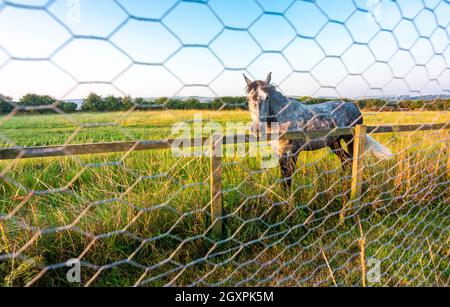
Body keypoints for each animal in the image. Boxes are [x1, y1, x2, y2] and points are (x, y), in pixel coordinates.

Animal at [243, 73, 394, 189]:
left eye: (267, 97)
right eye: (248, 98)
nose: (257, 129)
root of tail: (354, 106)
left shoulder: (292, 152)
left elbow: (288, 178)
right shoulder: (279, 152)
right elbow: (284, 177)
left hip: (350, 140)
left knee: (352, 160)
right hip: (334, 143)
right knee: (346, 160)